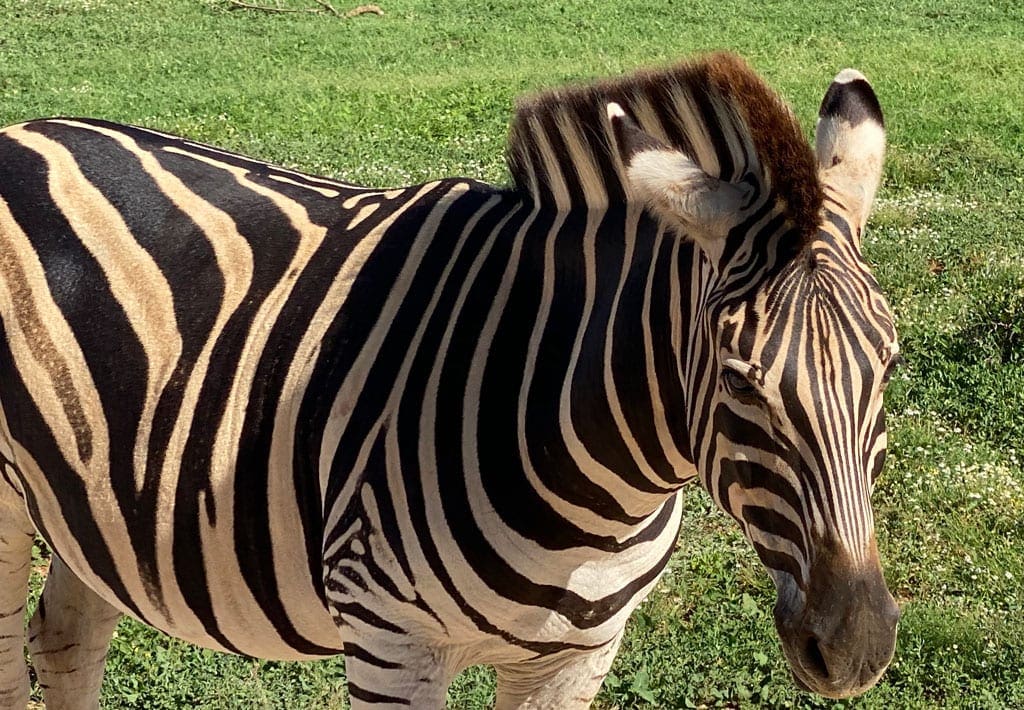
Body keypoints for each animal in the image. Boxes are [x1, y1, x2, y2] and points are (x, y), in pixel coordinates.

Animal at [0, 52, 897, 704]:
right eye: (742, 383)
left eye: (888, 368)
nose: (857, 648)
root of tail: (21, 133)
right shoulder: (391, 642)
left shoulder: (577, 658)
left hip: (88, 501)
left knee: (68, 640)